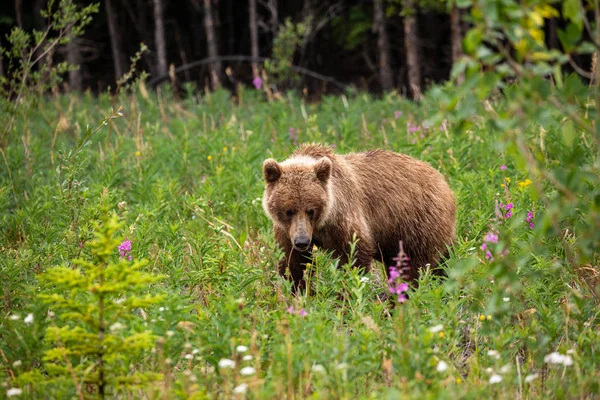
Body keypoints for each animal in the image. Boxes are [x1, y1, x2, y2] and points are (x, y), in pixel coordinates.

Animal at [262, 145, 454, 290]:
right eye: (289, 210)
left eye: (311, 210)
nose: (302, 241)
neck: (322, 224)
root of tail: (443, 181)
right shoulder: (287, 231)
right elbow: (293, 262)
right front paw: (297, 291)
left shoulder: (343, 217)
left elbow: (354, 255)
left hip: (416, 223)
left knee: (413, 266)